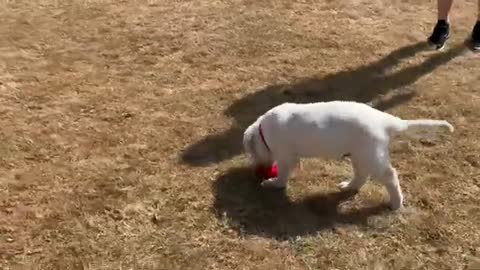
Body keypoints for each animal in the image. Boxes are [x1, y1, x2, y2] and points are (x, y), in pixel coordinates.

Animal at [244, 100, 454, 209]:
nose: (258, 170)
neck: (263, 130)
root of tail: (385, 120)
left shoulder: (285, 155)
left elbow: (283, 174)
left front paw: (273, 183)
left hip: (371, 154)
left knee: (389, 176)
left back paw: (396, 202)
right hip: (359, 154)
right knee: (361, 175)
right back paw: (348, 186)